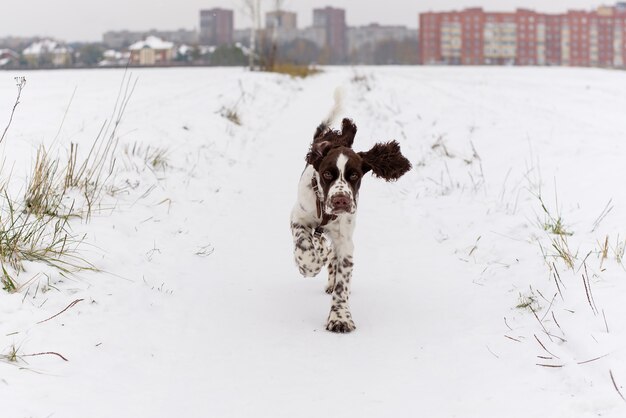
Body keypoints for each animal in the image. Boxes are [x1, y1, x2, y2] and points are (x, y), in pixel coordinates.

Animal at [290, 116, 412, 332]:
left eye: (354, 175)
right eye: (327, 174)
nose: (341, 201)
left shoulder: (345, 241)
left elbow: (342, 282)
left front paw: (340, 318)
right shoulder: (298, 217)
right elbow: (304, 248)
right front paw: (311, 264)